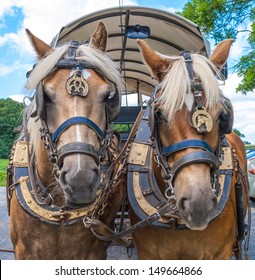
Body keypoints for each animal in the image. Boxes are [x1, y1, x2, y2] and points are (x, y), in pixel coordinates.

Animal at [6, 22, 124, 260]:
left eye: (108, 95)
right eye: (46, 96)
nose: (80, 180)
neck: (60, 209)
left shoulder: (95, 253)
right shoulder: (23, 252)